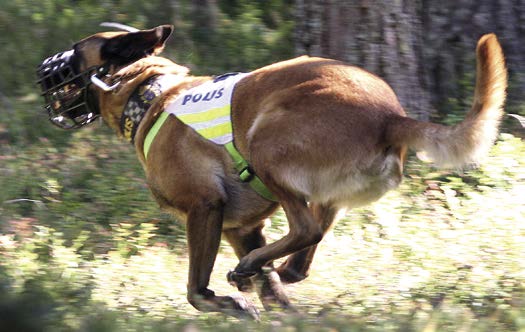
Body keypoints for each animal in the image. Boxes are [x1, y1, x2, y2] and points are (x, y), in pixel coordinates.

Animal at [35, 24, 504, 318]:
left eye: (73, 55)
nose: (42, 80)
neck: (151, 94)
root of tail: (390, 117)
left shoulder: (205, 209)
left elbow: (195, 289)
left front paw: (230, 305)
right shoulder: (240, 228)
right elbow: (275, 294)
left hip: (265, 146)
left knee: (304, 230)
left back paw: (246, 271)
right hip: (322, 194)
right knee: (300, 260)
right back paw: (261, 270)